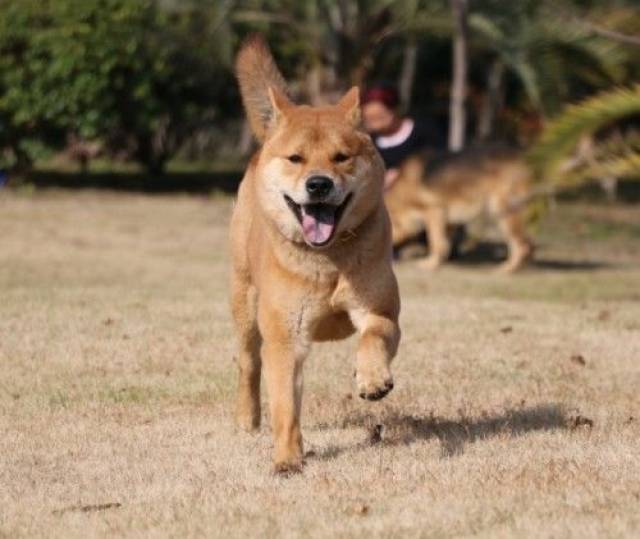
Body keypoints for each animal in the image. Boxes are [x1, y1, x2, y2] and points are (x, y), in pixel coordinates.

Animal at [230, 37, 400, 472]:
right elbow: (285, 407)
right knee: (249, 366)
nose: (319, 185)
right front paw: (288, 460)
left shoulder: (380, 309)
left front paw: (372, 379)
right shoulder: (285, 339)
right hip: (245, 309)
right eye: (296, 158)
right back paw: (247, 420)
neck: (328, 260)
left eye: (342, 157)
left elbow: (374, 334)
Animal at [388, 149, 532, 272]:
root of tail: (525, 160)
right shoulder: (447, 222)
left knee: (523, 246)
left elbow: (435, 242)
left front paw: (430, 265)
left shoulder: (434, 212)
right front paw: (438, 263)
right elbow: (444, 244)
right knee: (526, 244)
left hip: (502, 211)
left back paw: (507, 269)